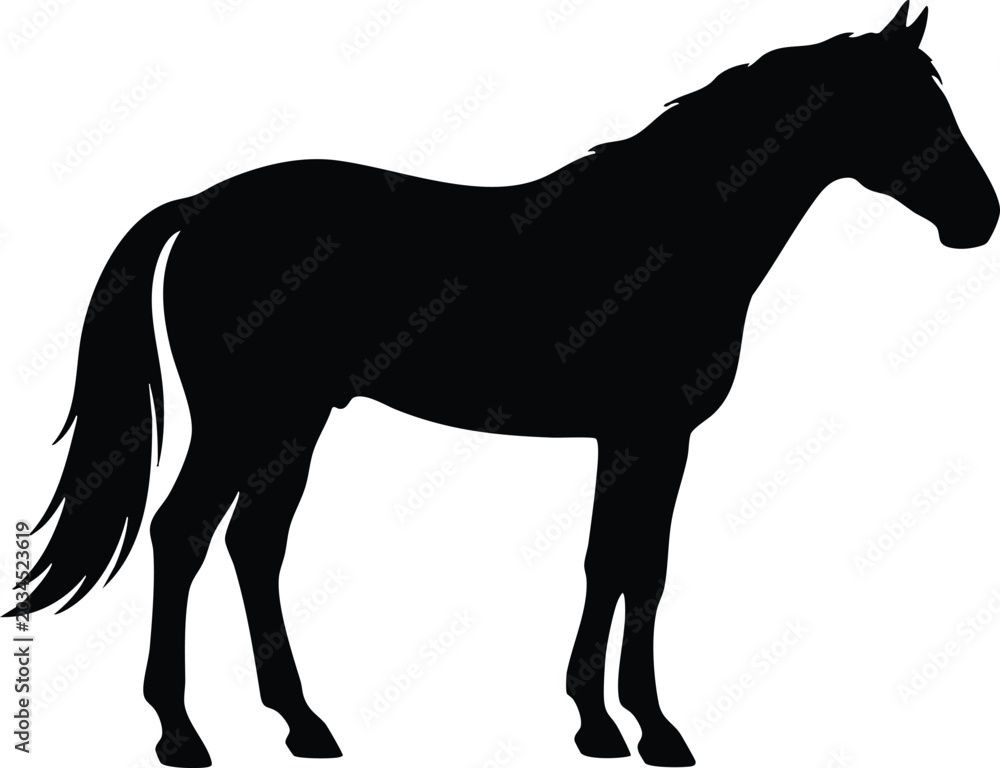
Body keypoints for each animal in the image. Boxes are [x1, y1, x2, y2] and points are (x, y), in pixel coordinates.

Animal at [7, 3, 997, 766]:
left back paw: (303, 724)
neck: (669, 233)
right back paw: (181, 735)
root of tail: (202, 206)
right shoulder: (650, 434)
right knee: (182, 536)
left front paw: (606, 722)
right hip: (240, 418)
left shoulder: (637, 440)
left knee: (255, 544)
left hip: (295, 419)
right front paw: (643, 728)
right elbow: (630, 568)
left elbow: (625, 566)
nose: (979, 217)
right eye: (906, 106)